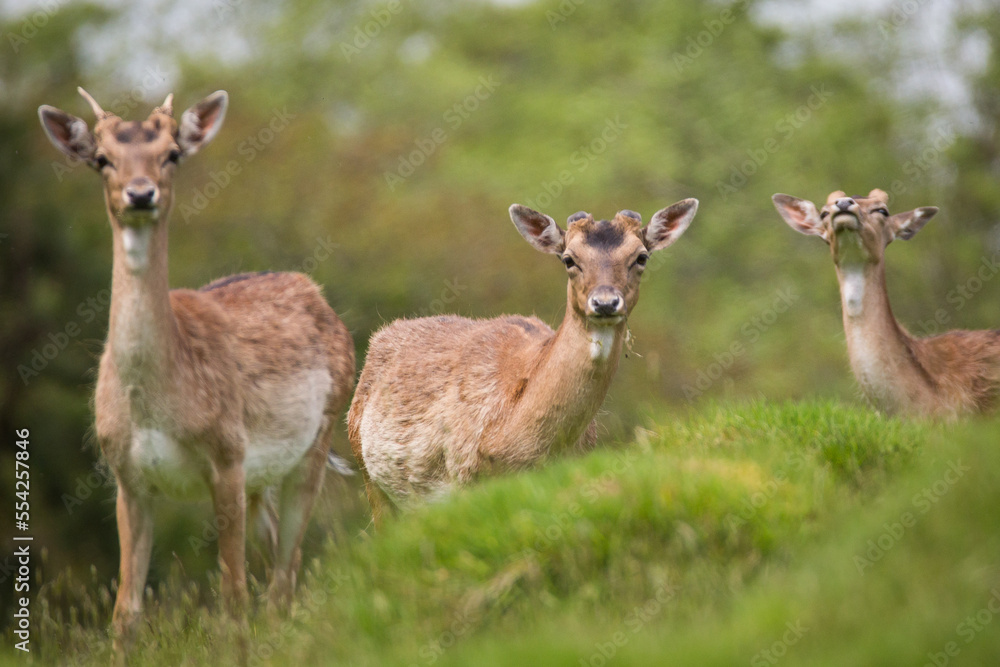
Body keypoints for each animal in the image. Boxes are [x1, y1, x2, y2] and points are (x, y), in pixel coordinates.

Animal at [38, 88, 355, 649]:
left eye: (172, 154)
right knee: (280, 565)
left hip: (315, 443)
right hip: (262, 477)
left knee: (283, 575)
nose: (141, 194)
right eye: (102, 159)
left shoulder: (227, 454)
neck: (156, 405)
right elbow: (125, 613)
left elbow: (233, 600)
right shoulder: (126, 475)